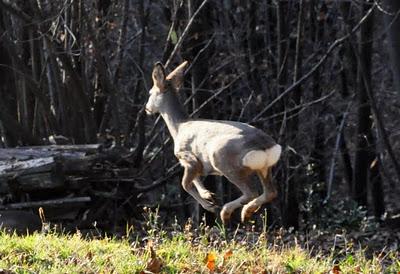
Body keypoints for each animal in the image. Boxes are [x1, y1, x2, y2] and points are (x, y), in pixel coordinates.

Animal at [145, 61, 282, 224]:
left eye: (150, 93)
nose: (147, 108)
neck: (179, 127)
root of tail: (265, 146)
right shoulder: (195, 164)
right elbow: (196, 180)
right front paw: (208, 195)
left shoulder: (188, 156)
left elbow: (185, 184)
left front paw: (210, 206)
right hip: (264, 167)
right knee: (270, 192)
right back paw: (246, 212)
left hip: (223, 160)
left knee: (251, 192)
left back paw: (226, 212)